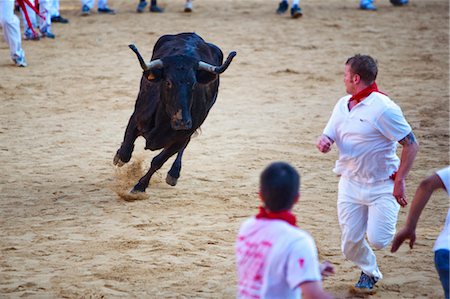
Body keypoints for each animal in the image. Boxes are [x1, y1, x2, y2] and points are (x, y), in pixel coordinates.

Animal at [113, 32, 236, 192]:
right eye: (168, 82)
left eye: (193, 84)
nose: (182, 122)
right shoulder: (136, 118)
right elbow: (125, 152)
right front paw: (118, 157)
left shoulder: (183, 136)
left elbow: (158, 161)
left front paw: (140, 187)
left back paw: (174, 174)